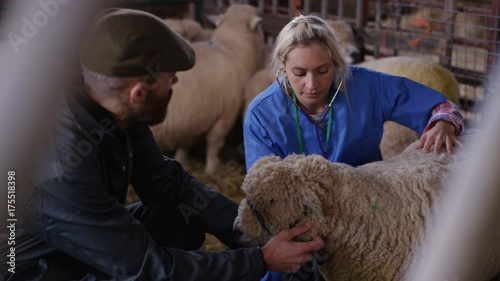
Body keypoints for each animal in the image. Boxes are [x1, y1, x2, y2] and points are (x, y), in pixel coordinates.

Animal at [150, 4, 264, 173]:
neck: (232, 48)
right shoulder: (226, 115)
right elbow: (214, 143)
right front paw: (211, 169)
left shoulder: (192, 118)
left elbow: (185, 143)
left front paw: (182, 160)